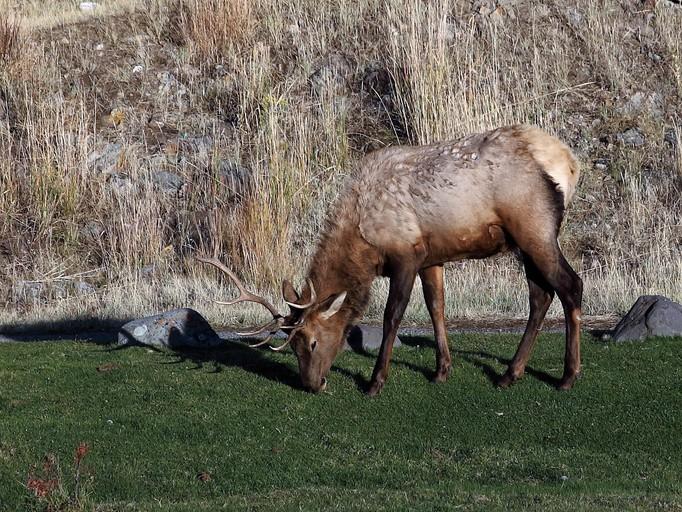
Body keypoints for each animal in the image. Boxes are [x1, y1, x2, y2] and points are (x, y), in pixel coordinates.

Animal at [197, 124, 580, 396]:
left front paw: (374, 382)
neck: (363, 244)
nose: (311, 384)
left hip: (534, 226)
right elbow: (436, 307)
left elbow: (391, 316)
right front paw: (441, 370)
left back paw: (567, 376)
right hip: (522, 241)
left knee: (570, 285)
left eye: (312, 341)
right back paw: (510, 374)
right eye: (292, 347)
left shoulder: (406, 254)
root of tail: (569, 163)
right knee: (540, 295)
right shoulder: (431, 257)